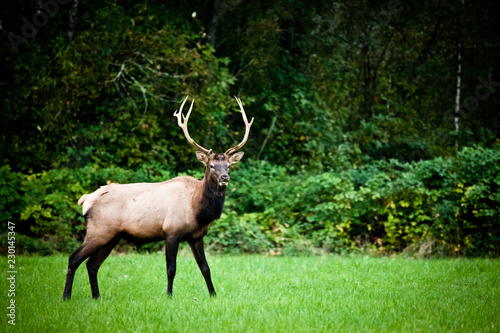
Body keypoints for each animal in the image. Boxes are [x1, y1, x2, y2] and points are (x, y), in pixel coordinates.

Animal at [63, 95, 254, 298]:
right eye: (211, 165)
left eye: (228, 166)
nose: (225, 178)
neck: (199, 211)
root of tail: (86, 200)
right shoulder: (171, 231)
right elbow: (171, 269)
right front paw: (169, 295)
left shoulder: (196, 236)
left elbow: (205, 268)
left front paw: (213, 295)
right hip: (98, 230)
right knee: (74, 258)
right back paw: (66, 296)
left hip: (112, 236)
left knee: (92, 264)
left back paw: (96, 297)